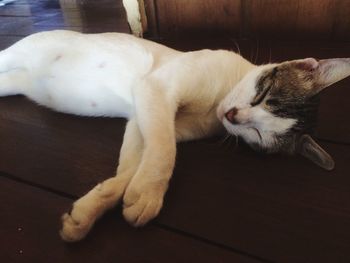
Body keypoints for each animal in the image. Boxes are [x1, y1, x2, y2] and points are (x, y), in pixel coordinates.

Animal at [0, 29, 348, 242]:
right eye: (262, 96)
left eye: (258, 135)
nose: (233, 116)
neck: (214, 104)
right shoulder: (156, 90)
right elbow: (164, 152)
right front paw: (149, 194)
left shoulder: (142, 118)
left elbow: (132, 166)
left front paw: (91, 209)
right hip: (14, 55)